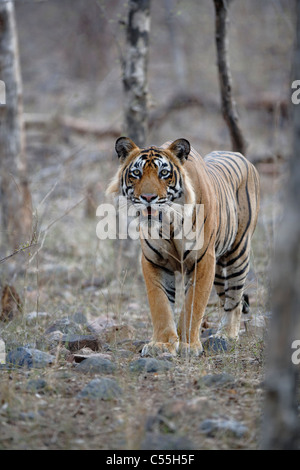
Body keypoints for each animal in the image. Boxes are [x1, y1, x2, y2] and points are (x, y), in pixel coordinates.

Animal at [106, 136, 258, 356]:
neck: (169, 222)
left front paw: (188, 345)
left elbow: (193, 304)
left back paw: (226, 335)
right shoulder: (154, 262)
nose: (148, 198)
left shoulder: (203, 261)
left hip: (236, 256)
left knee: (234, 300)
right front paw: (161, 344)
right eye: (136, 173)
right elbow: (160, 305)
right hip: (219, 271)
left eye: (164, 173)